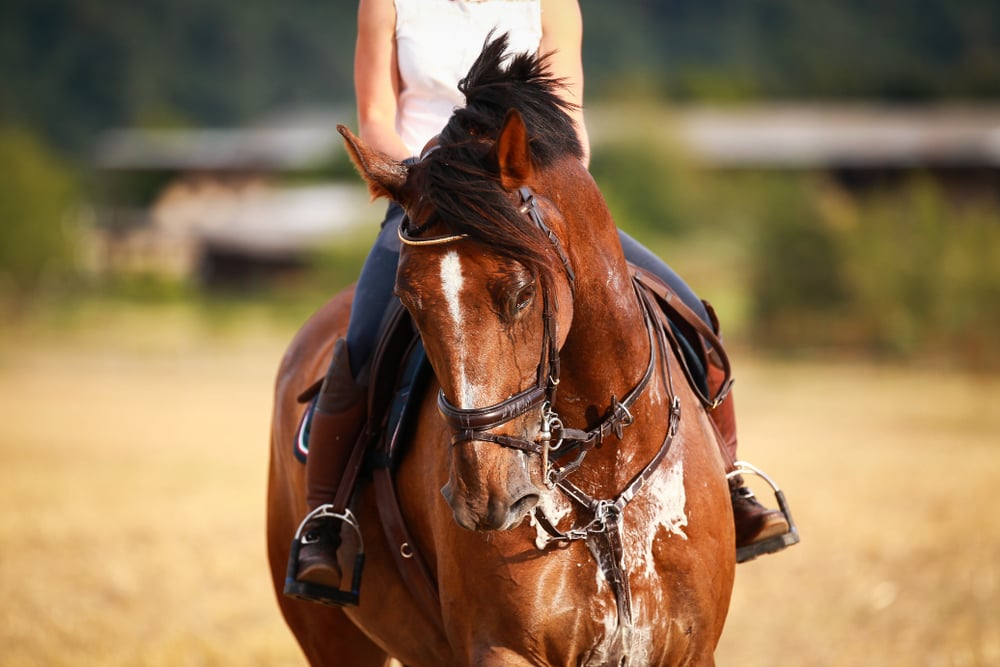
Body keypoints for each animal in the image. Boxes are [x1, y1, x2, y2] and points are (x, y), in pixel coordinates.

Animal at [267, 38, 735, 666]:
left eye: (521, 291)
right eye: (408, 302)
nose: (487, 501)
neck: (606, 477)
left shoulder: (690, 649)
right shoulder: (503, 648)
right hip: (334, 635)